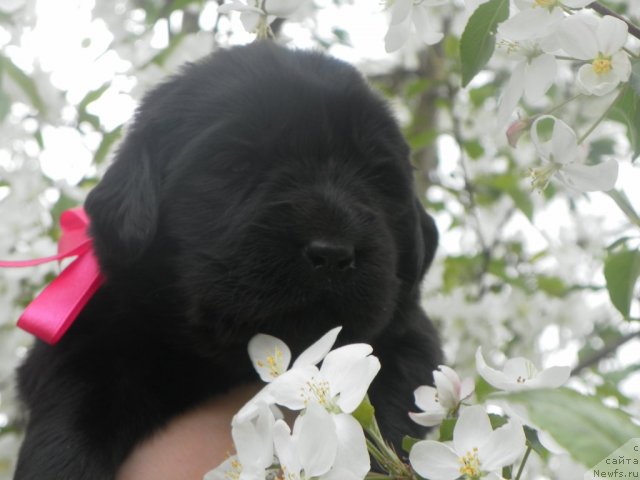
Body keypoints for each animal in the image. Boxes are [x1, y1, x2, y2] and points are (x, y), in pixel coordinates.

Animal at [13, 43, 440, 478]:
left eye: (377, 178)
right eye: (235, 165)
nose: (333, 253)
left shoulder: (406, 338)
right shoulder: (89, 339)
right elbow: (69, 421)